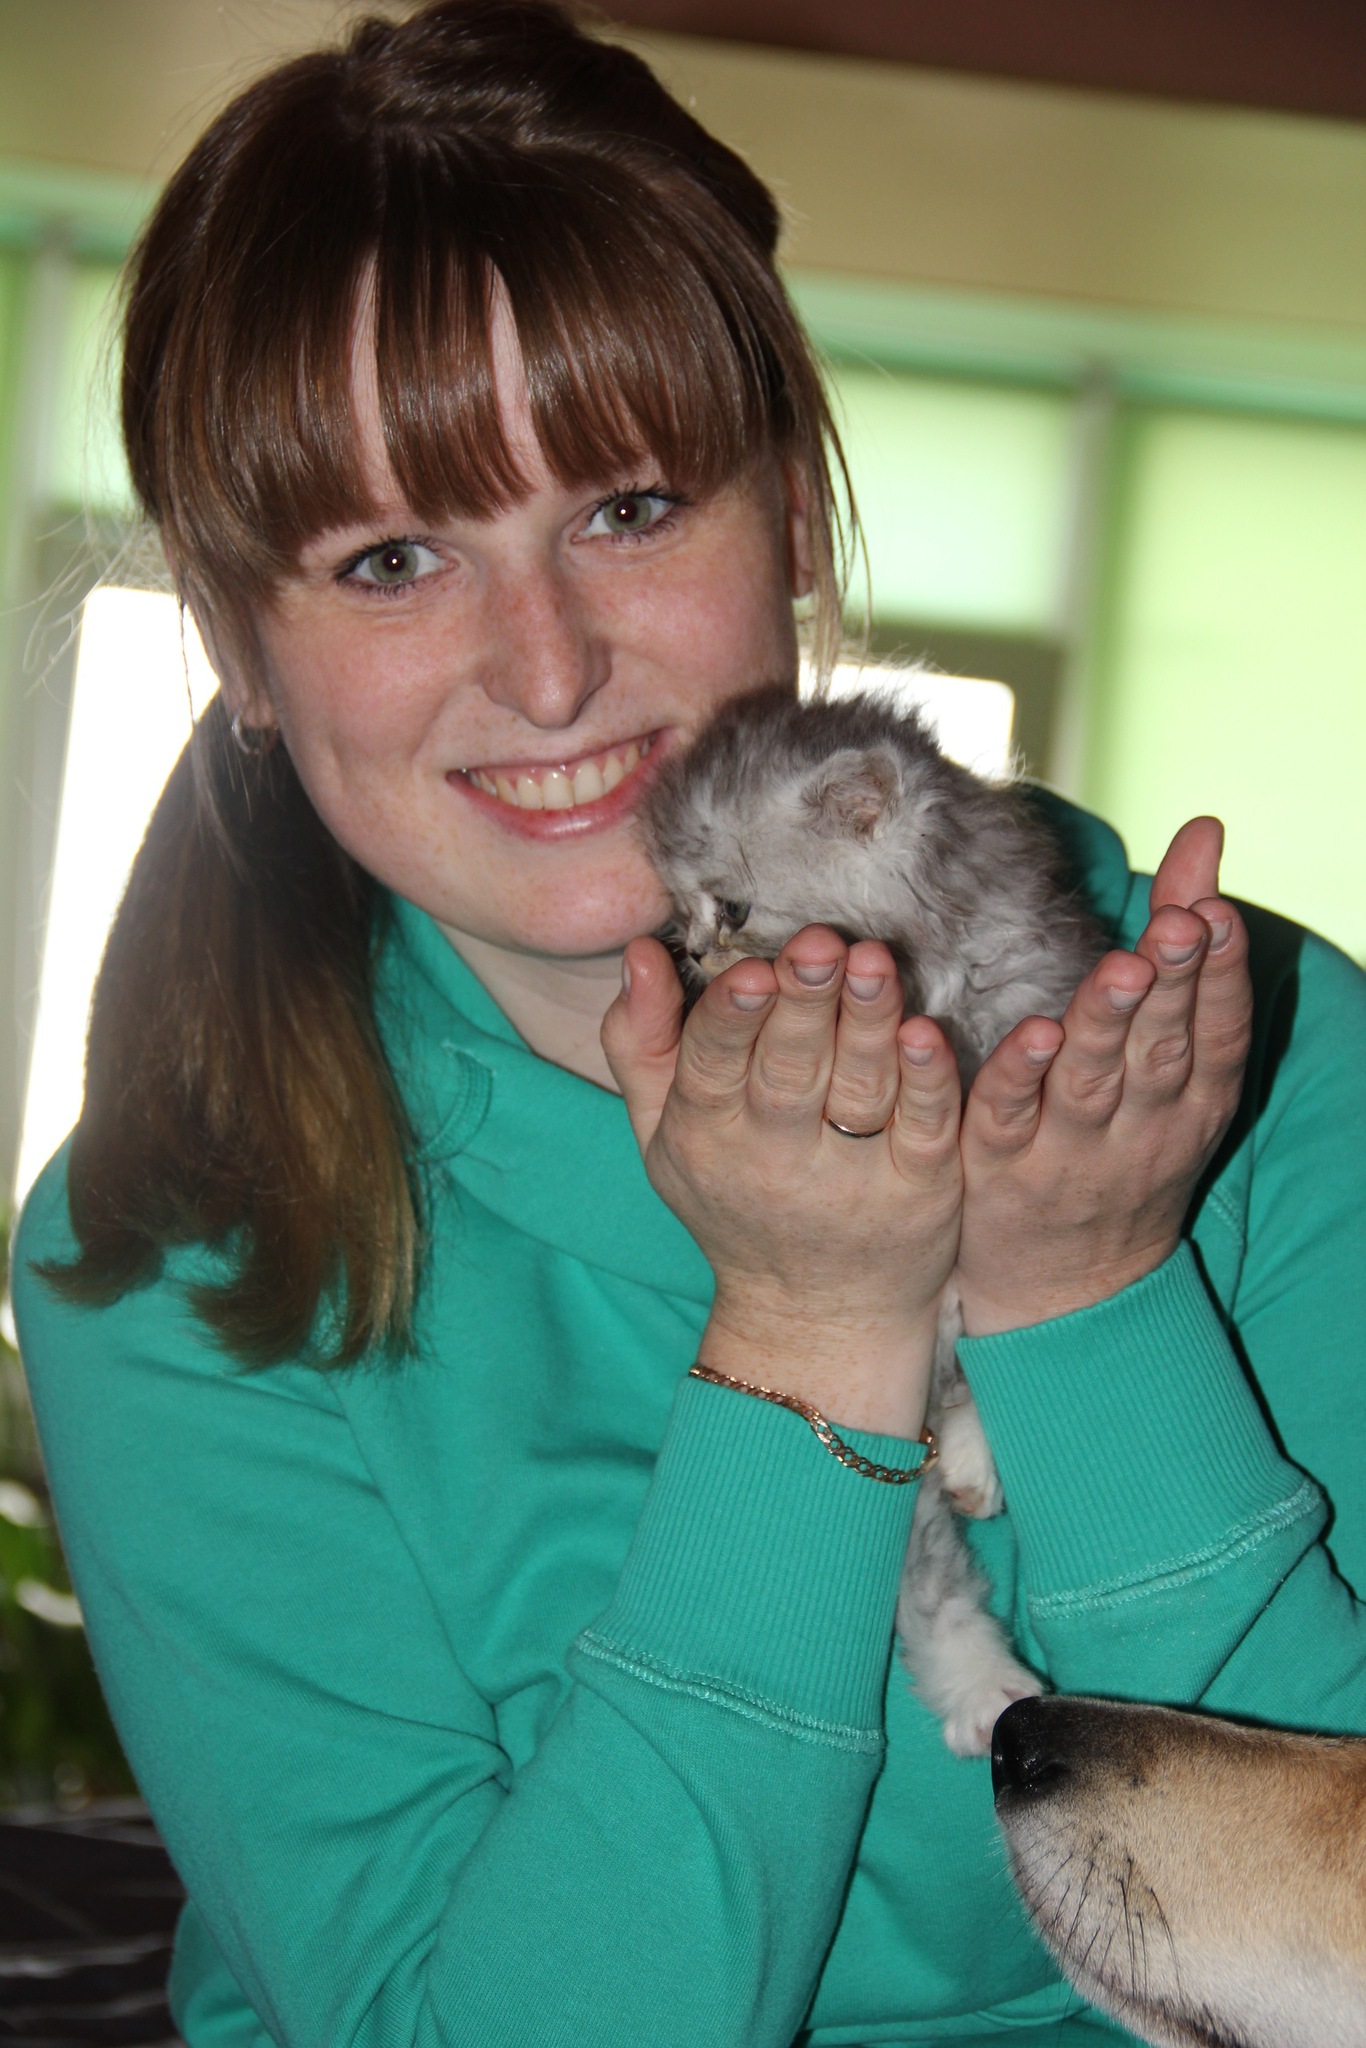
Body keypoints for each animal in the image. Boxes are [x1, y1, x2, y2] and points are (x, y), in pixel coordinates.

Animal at [639, 680, 1108, 1755]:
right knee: (925, 1581)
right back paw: (986, 1689)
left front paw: (979, 1445)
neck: (934, 972)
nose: (692, 953)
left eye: (732, 908)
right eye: (679, 912)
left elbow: (986, 1304)